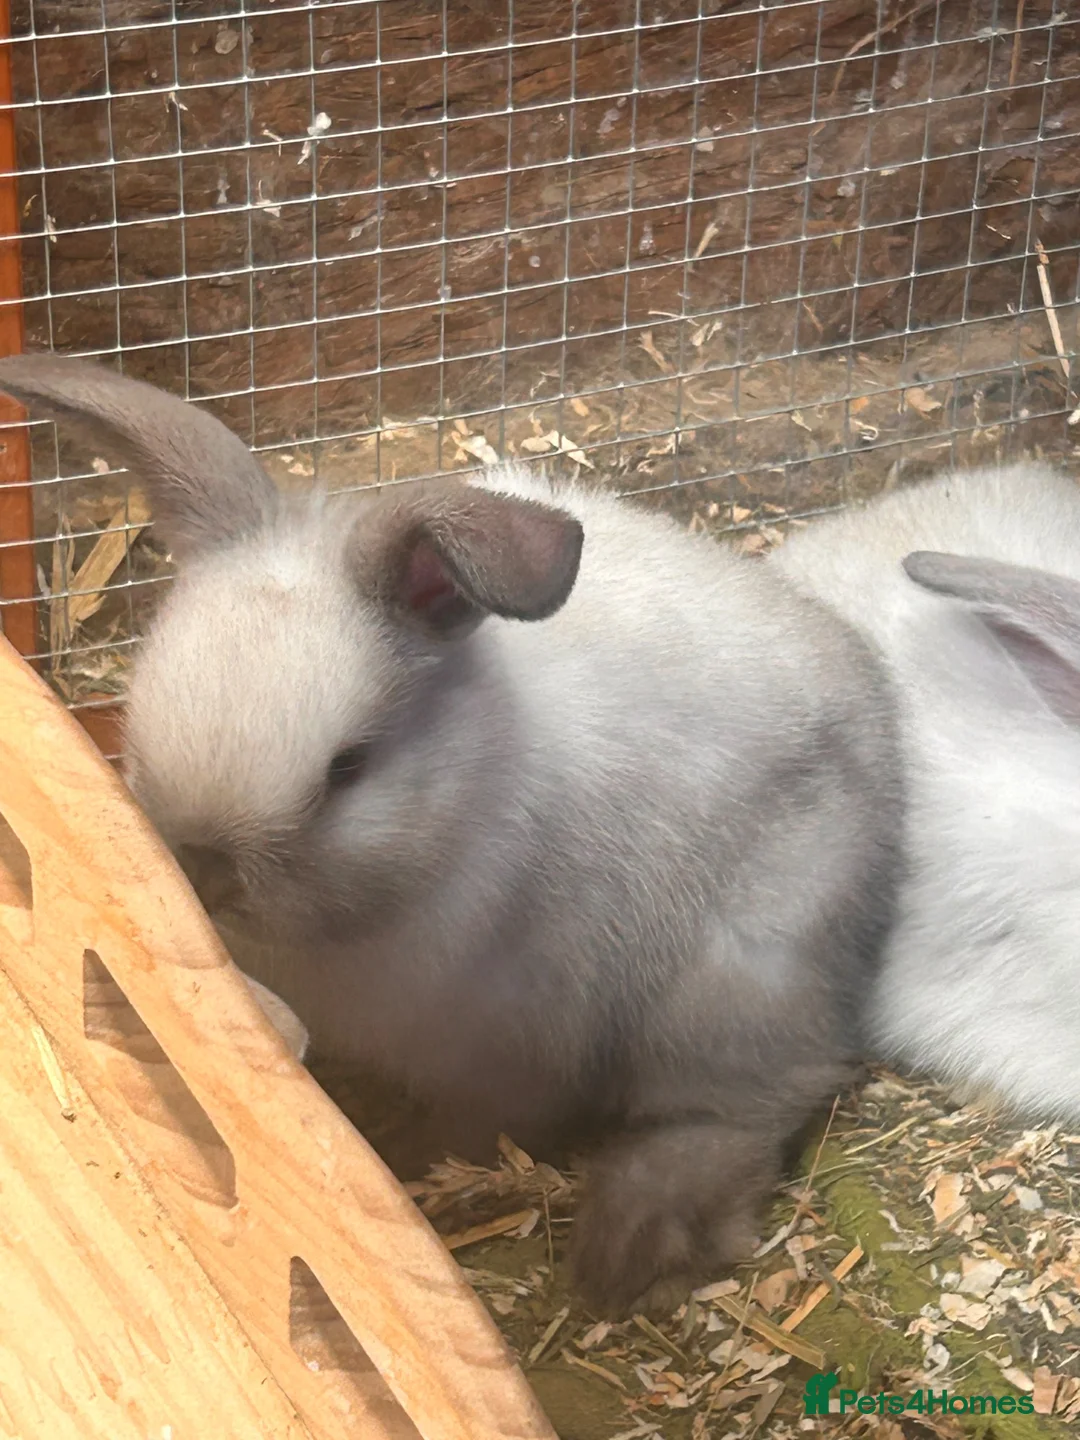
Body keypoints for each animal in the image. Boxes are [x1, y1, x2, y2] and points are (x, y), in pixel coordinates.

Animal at [0, 353, 903, 1315]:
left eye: (348, 767)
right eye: (137, 721)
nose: (202, 870)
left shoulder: (509, 1054)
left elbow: (475, 1126)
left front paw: (403, 1156)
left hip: (736, 984)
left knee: (749, 1106)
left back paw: (629, 1245)